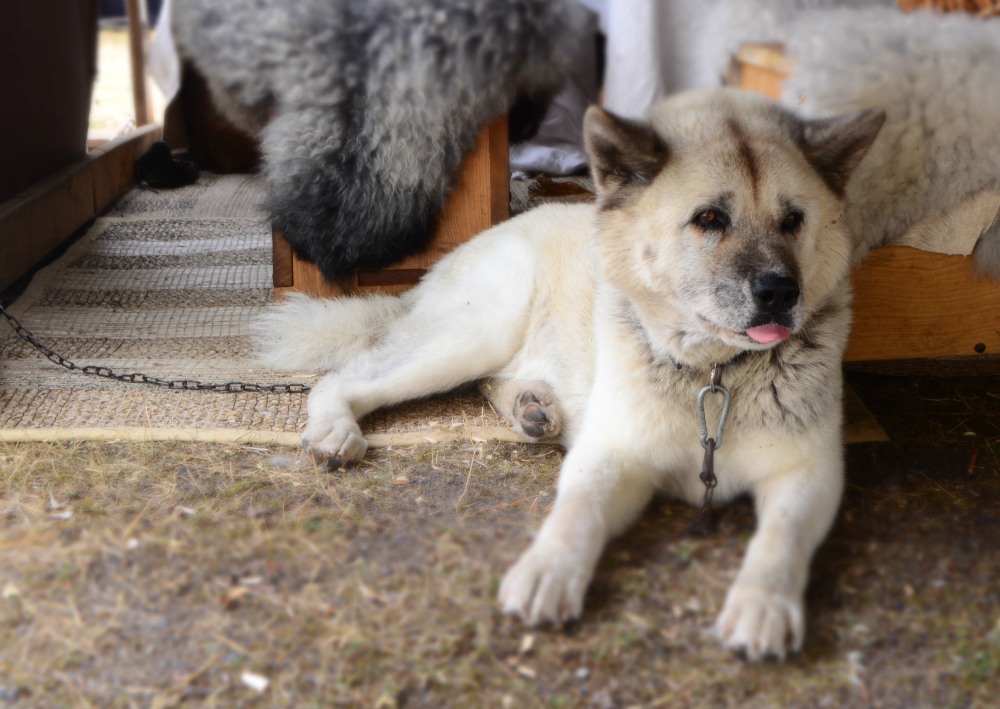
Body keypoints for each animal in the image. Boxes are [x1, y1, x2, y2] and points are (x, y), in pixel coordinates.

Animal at [258, 87, 884, 660]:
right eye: (709, 219)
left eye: (793, 221)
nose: (780, 292)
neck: (714, 374)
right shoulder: (610, 455)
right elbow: (576, 513)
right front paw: (548, 570)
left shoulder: (809, 475)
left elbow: (780, 540)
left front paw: (763, 604)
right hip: (475, 333)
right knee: (345, 376)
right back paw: (337, 429)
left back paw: (530, 408)